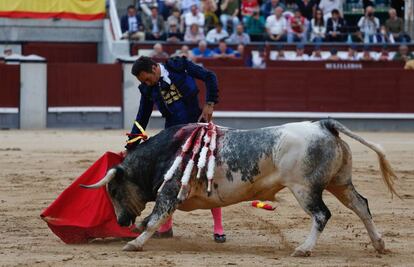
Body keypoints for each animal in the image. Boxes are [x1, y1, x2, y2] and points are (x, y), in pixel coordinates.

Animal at [81, 120, 398, 258]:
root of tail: (323, 125)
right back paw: (379, 245)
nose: (121, 220)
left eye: (114, 191)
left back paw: (303, 249)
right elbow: (154, 219)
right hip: (340, 182)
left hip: (304, 188)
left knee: (321, 215)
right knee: (361, 205)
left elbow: (154, 218)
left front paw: (134, 243)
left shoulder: (169, 191)